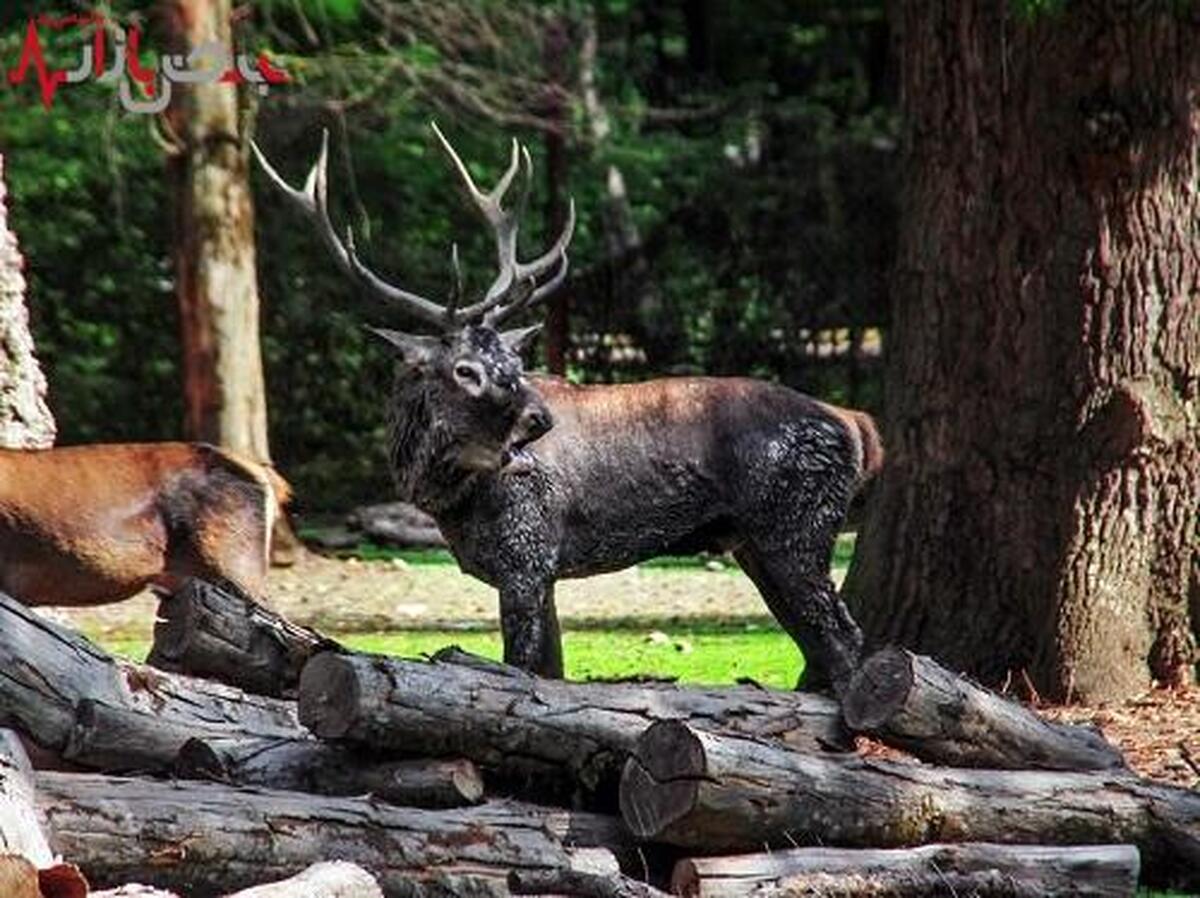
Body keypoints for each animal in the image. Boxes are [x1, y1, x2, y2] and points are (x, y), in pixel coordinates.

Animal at [255, 127, 883, 686]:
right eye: (465, 369)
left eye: (514, 357)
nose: (539, 419)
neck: (447, 498)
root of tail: (855, 424)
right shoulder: (542, 570)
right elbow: (551, 672)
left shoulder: (526, 552)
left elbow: (523, 669)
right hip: (757, 541)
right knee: (822, 645)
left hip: (797, 526)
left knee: (845, 638)